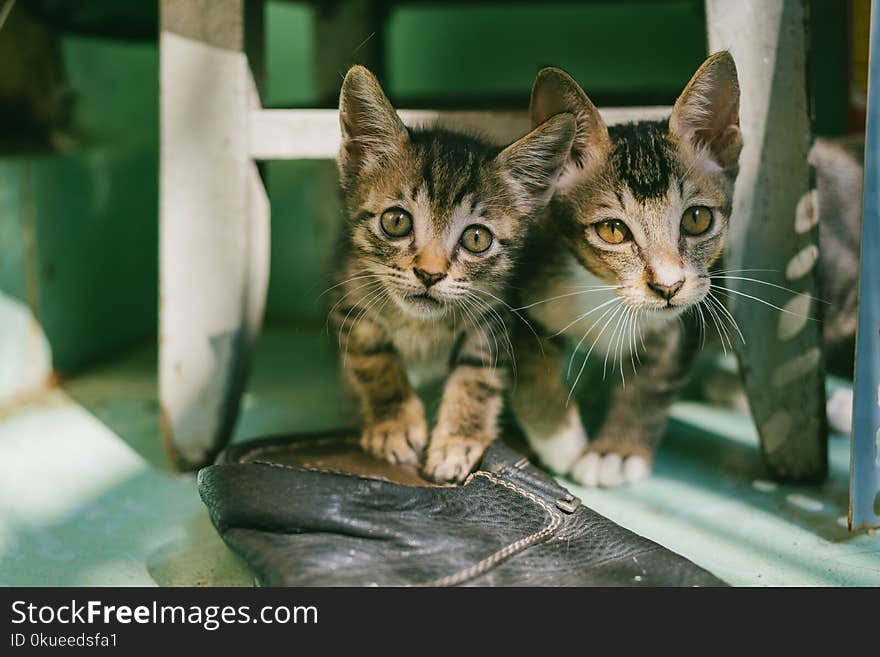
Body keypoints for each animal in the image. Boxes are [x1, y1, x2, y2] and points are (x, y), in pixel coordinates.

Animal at [330, 65, 576, 482]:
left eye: (476, 238)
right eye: (396, 221)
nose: (429, 275)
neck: (422, 326)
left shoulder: (494, 316)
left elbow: (475, 377)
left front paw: (459, 441)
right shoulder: (350, 298)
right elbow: (373, 359)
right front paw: (393, 425)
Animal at [508, 52, 744, 486]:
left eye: (697, 219)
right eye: (613, 230)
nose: (668, 286)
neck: (610, 295)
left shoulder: (682, 324)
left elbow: (649, 384)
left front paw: (615, 451)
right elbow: (529, 364)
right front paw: (561, 438)